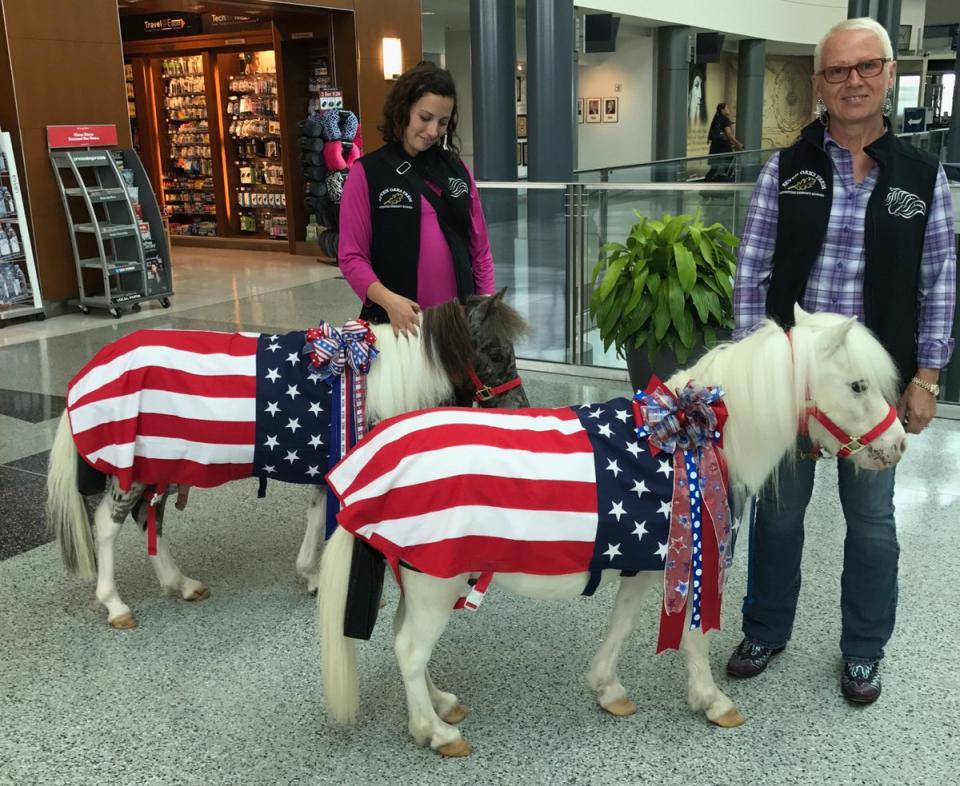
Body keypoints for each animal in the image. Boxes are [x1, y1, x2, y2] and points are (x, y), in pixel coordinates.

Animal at [320, 306, 908, 752]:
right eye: (858, 385)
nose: (898, 444)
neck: (688, 441)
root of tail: (368, 462)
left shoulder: (646, 565)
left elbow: (622, 626)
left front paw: (607, 689)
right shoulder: (690, 560)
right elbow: (693, 637)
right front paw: (712, 700)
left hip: (419, 578)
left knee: (405, 644)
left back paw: (441, 704)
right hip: (435, 583)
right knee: (409, 651)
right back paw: (435, 732)